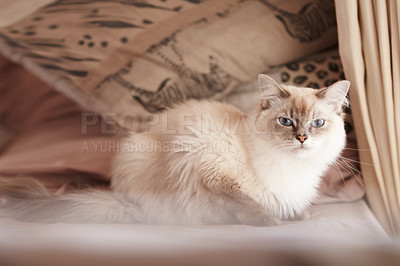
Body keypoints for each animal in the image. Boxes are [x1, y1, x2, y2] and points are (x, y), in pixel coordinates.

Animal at [0, 74, 350, 224]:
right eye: (286, 122)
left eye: (317, 123)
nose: (302, 138)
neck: (292, 170)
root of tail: (123, 201)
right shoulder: (215, 176)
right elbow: (252, 208)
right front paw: (273, 224)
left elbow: (295, 210)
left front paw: (298, 217)